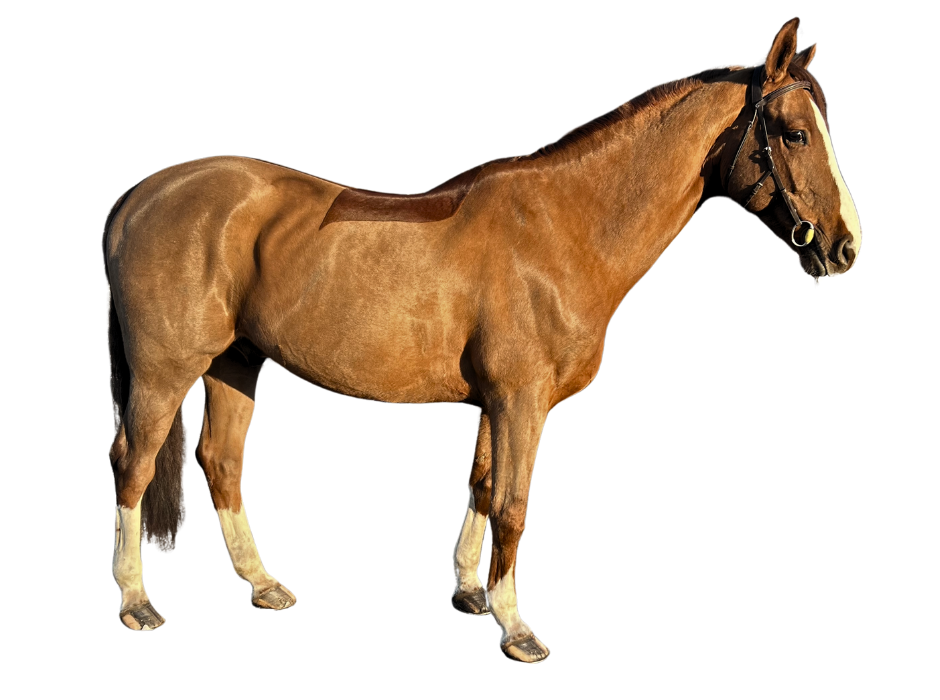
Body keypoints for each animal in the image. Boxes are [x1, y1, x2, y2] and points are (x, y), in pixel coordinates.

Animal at [103, 17, 860, 662]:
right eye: (795, 134)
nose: (845, 246)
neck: (561, 228)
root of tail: (137, 197)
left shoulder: (494, 401)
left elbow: (482, 484)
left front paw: (471, 593)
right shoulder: (521, 401)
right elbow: (514, 505)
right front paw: (515, 626)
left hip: (236, 363)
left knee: (221, 463)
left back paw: (263, 584)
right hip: (165, 372)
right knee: (134, 465)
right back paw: (137, 602)